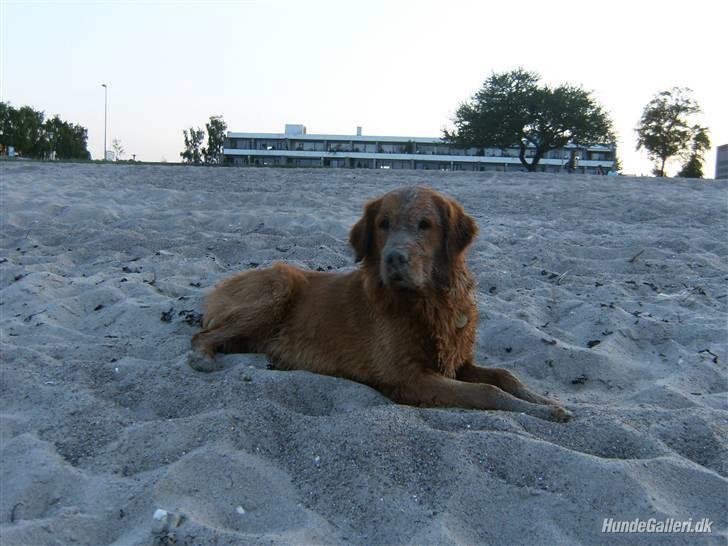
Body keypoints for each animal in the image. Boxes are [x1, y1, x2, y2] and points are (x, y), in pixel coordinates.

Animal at [191, 185, 572, 418]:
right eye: (383, 224)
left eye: (425, 224)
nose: (394, 259)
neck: (428, 302)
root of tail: (222, 282)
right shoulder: (409, 378)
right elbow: (488, 391)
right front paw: (543, 411)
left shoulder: (457, 361)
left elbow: (505, 376)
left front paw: (545, 402)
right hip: (279, 284)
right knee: (200, 335)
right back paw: (204, 358)